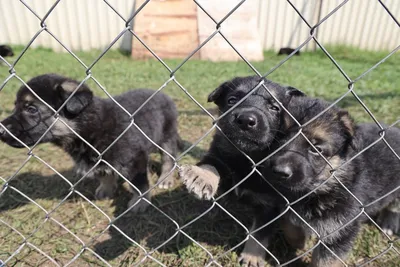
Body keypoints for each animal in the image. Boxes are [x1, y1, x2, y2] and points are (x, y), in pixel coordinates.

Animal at [0, 74, 181, 213]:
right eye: (15, 106)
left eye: (31, 109)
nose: (1, 130)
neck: (89, 126)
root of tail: (163, 95)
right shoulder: (97, 160)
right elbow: (104, 174)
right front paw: (106, 190)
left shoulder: (135, 159)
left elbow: (139, 184)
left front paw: (140, 202)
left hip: (167, 136)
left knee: (169, 159)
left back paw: (166, 179)